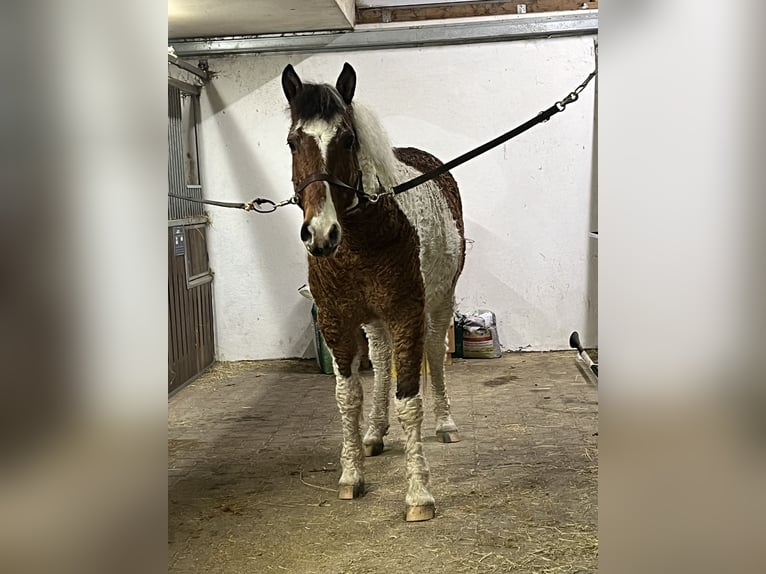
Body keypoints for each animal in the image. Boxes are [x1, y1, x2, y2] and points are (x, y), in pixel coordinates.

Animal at [280, 62, 464, 520]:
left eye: (347, 139)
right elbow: (349, 396)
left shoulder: (406, 313)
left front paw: (419, 494)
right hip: (375, 322)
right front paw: (351, 475)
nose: (320, 234)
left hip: (439, 302)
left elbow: (409, 401)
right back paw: (375, 433)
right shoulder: (336, 321)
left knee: (435, 353)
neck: (360, 240)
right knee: (380, 361)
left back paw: (446, 423)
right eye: (293, 142)